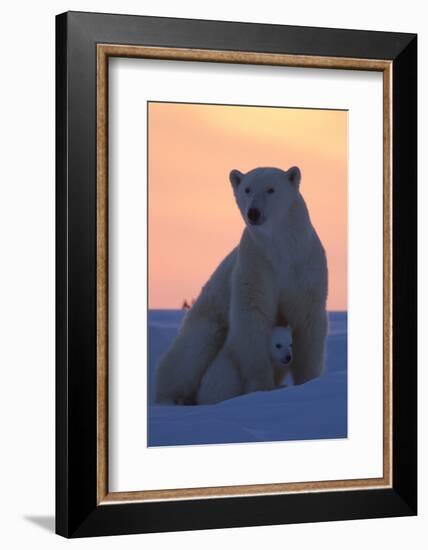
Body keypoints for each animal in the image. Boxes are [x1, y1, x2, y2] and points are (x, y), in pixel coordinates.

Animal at [155, 167, 326, 406]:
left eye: (271, 189)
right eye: (247, 189)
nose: (253, 212)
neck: (281, 249)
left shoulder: (304, 266)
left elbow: (308, 320)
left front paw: (309, 382)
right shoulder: (256, 263)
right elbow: (252, 317)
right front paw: (262, 387)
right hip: (208, 319)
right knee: (190, 355)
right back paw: (172, 398)